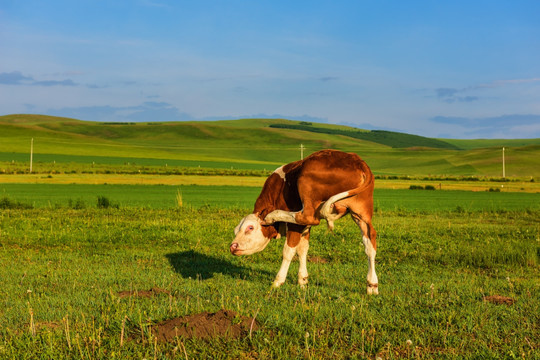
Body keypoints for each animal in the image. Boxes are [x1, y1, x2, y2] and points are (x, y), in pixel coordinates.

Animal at [230, 150, 378, 296]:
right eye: (236, 230)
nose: (232, 246)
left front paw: (277, 282)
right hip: (361, 213)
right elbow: (302, 249)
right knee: (370, 241)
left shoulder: (295, 225)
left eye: (250, 227)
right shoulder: (304, 228)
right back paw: (372, 285)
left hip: (304, 181)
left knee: (307, 216)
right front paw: (303, 281)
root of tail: (356, 160)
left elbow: (288, 251)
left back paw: (271, 216)